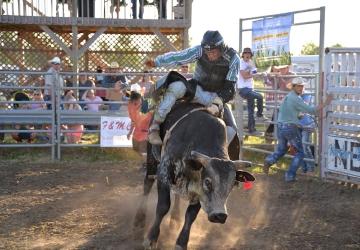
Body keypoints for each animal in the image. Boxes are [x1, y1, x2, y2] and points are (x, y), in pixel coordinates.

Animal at [136, 102, 256, 250]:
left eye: (232, 184)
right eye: (208, 182)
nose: (220, 215)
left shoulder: (199, 192)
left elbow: (191, 215)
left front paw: (181, 243)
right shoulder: (163, 173)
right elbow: (163, 206)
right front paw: (151, 238)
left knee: (177, 194)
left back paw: (175, 219)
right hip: (151, 159)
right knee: (147, 184)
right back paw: (139, 219)